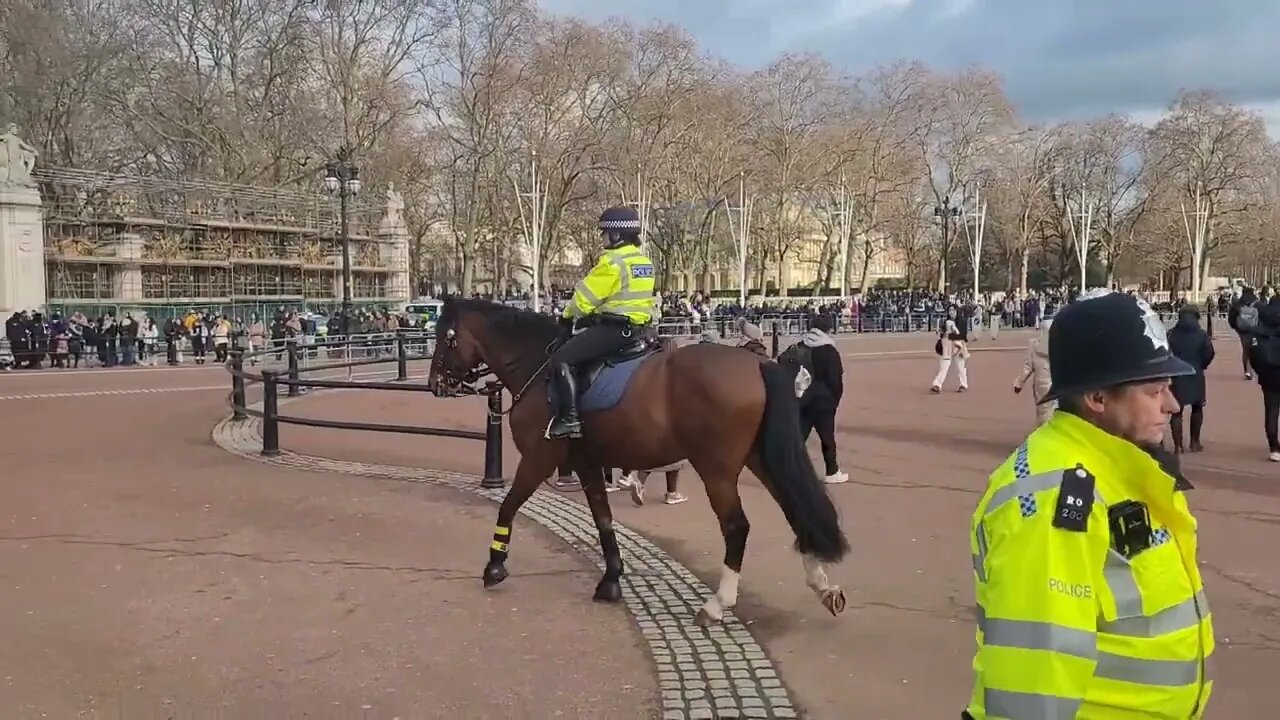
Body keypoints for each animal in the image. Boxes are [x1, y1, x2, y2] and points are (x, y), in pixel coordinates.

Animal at [427, 297, 849, 622]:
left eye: (446, 338)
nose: (435, 384)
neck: (539, 366)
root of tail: (757, 364)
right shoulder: (587, 463)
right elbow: (603, 520)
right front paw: (612, 579)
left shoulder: (537, 459)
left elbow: (509, 506)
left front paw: (494, 565)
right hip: (759, 458)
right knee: (794, 510)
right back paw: (822, 585)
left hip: (716, 468)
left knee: (737, 527)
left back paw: (718, 603)